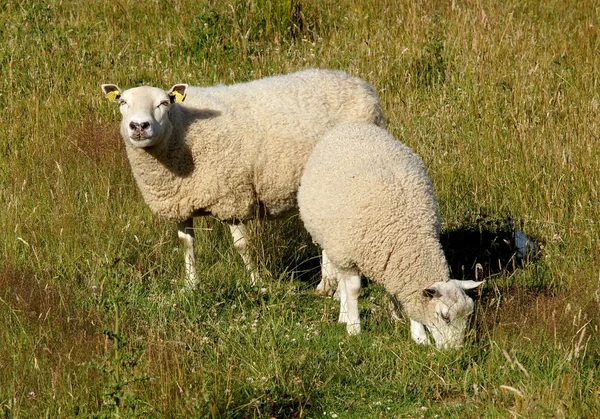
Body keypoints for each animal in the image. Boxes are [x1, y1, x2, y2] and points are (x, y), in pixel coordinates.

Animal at [101, 70, 384, 290]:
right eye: (122, 102)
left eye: (164, 103)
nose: (139, 126)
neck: (182, 132)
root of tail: (360, 83)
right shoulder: (179, 202)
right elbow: (186, 244)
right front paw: (191, 286)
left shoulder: (232, 197)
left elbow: (242, 246)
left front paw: (257, 283)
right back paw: (327, 286)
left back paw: (327, 286)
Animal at [296, 123, 482, 350]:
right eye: (444, 316)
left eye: (468, 315)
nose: (454, 352)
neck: (407, 236)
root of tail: (351, 125)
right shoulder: (349, 254)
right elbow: (354, 290)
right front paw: (354, 328)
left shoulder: (395, 264)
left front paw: (417, 335)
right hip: (335, 243)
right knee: (342, 279)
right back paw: (344, 314)